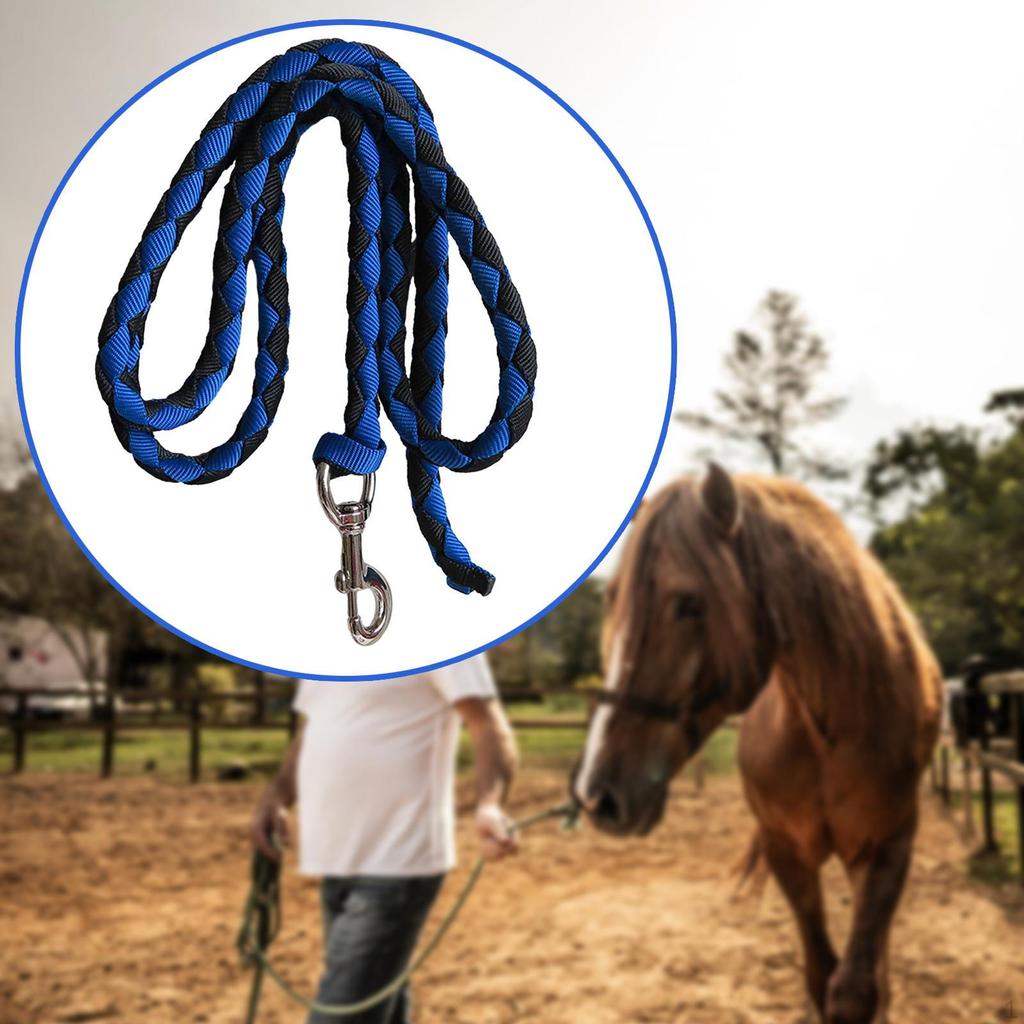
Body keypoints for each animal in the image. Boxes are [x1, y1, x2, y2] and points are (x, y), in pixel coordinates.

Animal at [573, 464, 942, 1024]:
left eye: (690, 603)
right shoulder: (784, 848)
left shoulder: (886, 848)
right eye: (613, 599)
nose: (598, 796)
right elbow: (820, 976)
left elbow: (855, 989)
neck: (824, 729)